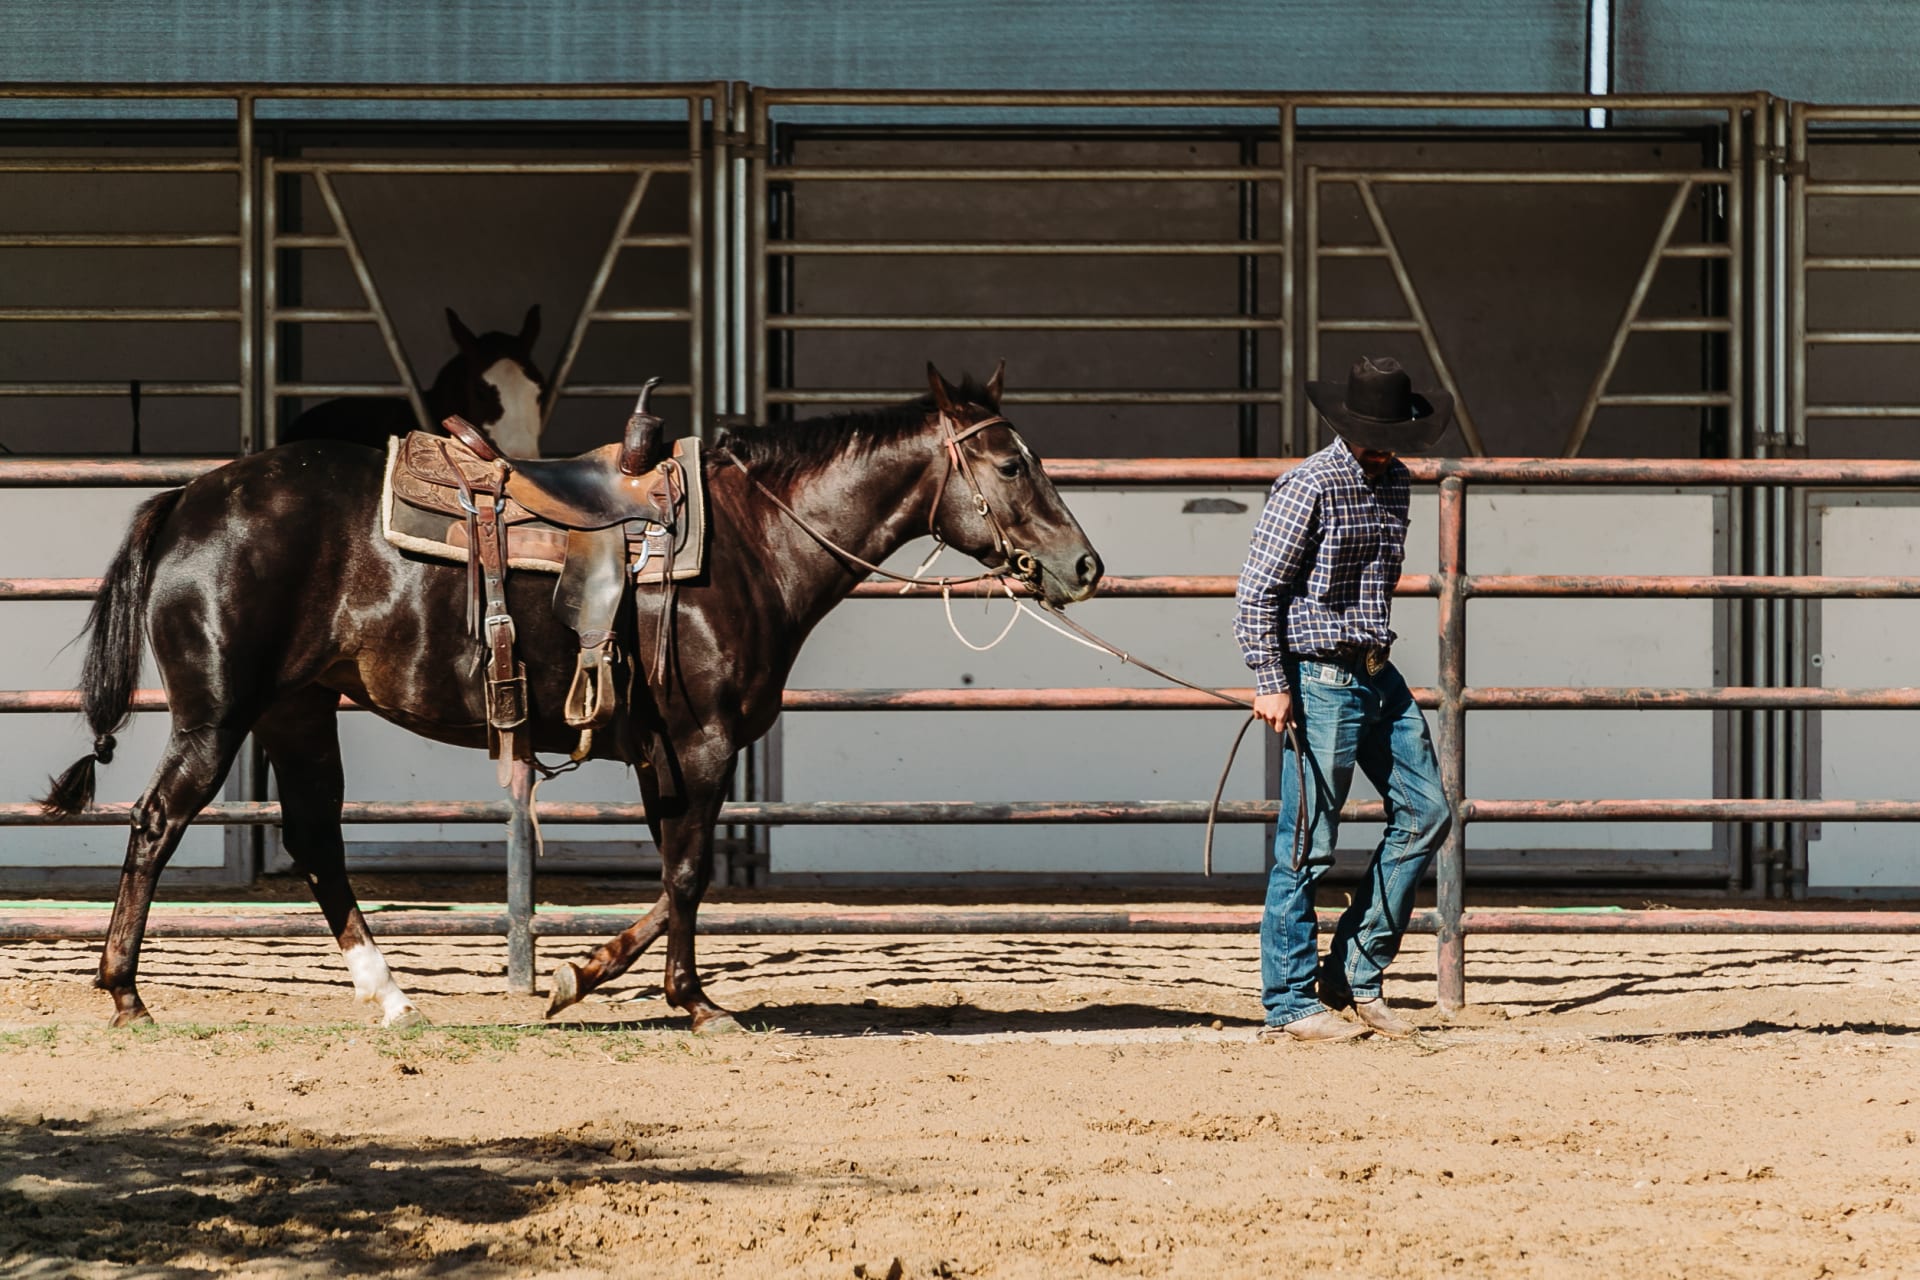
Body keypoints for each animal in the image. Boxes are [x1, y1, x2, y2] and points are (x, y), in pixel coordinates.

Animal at [41, 360, 1098, 1028]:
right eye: (1012, 464)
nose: (1083, 564)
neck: (755, 539)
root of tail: (188, 498)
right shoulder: (703, 743)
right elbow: (688, 876)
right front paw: (656, 996)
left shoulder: (663, 753)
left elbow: (673, 875)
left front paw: (615, 983)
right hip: (217, 717)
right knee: (156, 822)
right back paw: (125, 990)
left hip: (296, 712)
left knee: (314, 839)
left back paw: (387, 992)